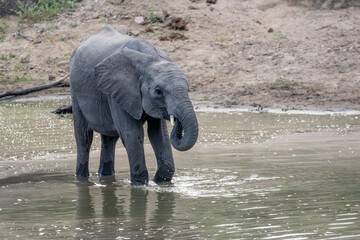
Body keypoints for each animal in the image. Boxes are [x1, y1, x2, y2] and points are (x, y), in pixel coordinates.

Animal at [69, 26, 198, 185]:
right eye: (158, 91)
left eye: (188, 88)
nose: (177, 122)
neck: (149, 58)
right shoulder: (118, 91)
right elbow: (132, 134)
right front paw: (140, 184)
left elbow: (159, 134)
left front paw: (159, 183)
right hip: (75, 91)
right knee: (84, 137)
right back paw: (82, 178)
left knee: (109, 139)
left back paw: (106, 177)